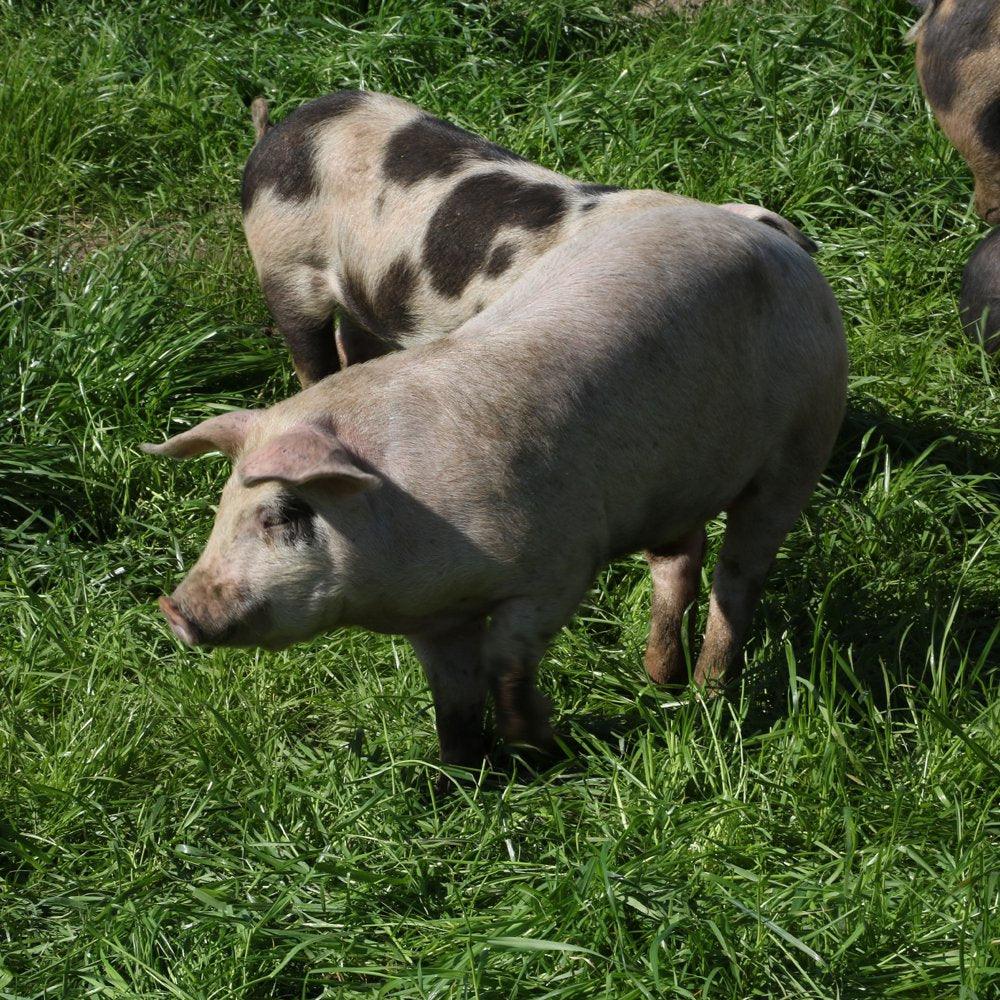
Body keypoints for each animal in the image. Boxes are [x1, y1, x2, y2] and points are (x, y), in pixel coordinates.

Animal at [145, 205, 848, 780]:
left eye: (284, 511)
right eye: (222, 510)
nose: (175, 609)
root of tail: (773, 235)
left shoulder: (556, 569)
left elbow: (506, 663)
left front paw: (538, 752)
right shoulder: (434, 621)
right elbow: (452, 698)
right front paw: (459, 774)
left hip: (800, 445)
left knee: (739, 575)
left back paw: (707, 694)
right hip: (676, 484)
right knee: (680, 563)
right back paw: (661, 678)